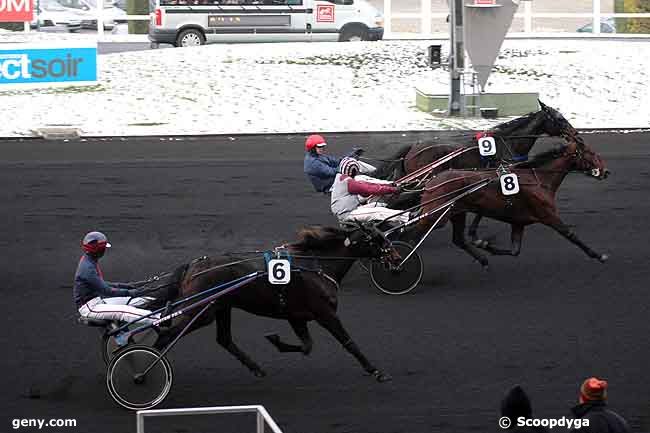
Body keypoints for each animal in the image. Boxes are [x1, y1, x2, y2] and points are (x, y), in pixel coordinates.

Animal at [410, 137, 608, 268]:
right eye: (591, 153)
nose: (606, 172)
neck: (538, 178)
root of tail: (431, 181)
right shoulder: (548, 215)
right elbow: (571, 235)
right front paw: (598, 255)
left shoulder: (518, 223)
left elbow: (515, 250)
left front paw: (485, 245)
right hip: (436, 215)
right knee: (412, 233)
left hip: (456, 212)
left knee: (458, 239)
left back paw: (482, 259)